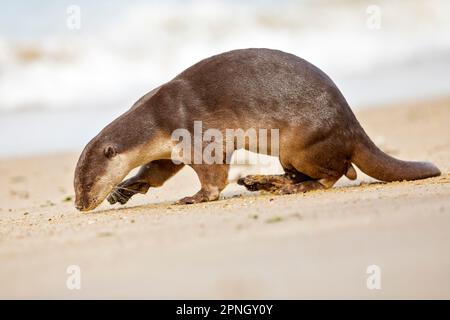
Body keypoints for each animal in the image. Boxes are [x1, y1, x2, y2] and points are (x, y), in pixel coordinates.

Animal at [73, 48, 440, 212]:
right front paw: (126, 188)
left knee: (337, 172)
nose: (78, 204)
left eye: (86, 184)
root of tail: (351, 124)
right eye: (77, 185)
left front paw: (196, 196)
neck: (157, 117)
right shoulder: (170, 149)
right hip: (292, 152)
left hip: (302, 143)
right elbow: (157, 170)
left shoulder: (195, 133)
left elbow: (213, 175)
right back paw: (261, 182)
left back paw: (284, 186)